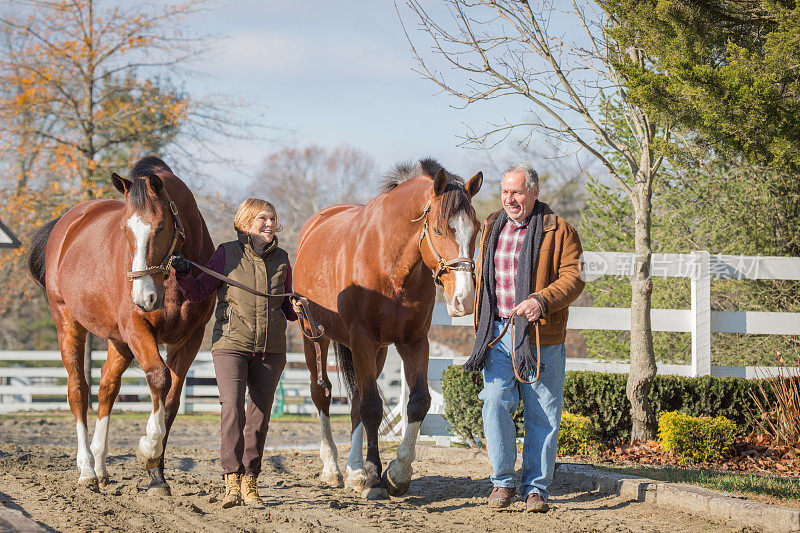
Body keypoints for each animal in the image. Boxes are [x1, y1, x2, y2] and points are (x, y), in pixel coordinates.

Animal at [28, 156, 216, 492]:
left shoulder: (189, 339)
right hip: (68, 324)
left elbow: (171, 401)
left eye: (161, 226)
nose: (143, 297)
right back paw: (86, 470)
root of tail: (66, 223)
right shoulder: (137, 330)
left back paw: (101, 465)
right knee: (78, 390)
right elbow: (158, 378)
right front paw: (148, 450)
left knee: (107, 388)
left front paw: (157, 475)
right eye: (124, 229)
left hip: (119, 343)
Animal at [294, 159, 482, 498]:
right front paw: (374, 478)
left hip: (377, 350)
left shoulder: (414, 342)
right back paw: (333, 468)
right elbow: (371, 407)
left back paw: (354, 470)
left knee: (355, 398)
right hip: (313, 336)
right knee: (323, 394)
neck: (390, 264)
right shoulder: (362, 339)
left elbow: (418, 402)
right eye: (438, 229)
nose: (463, 299)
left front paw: (397, 472)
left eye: (474, 229)